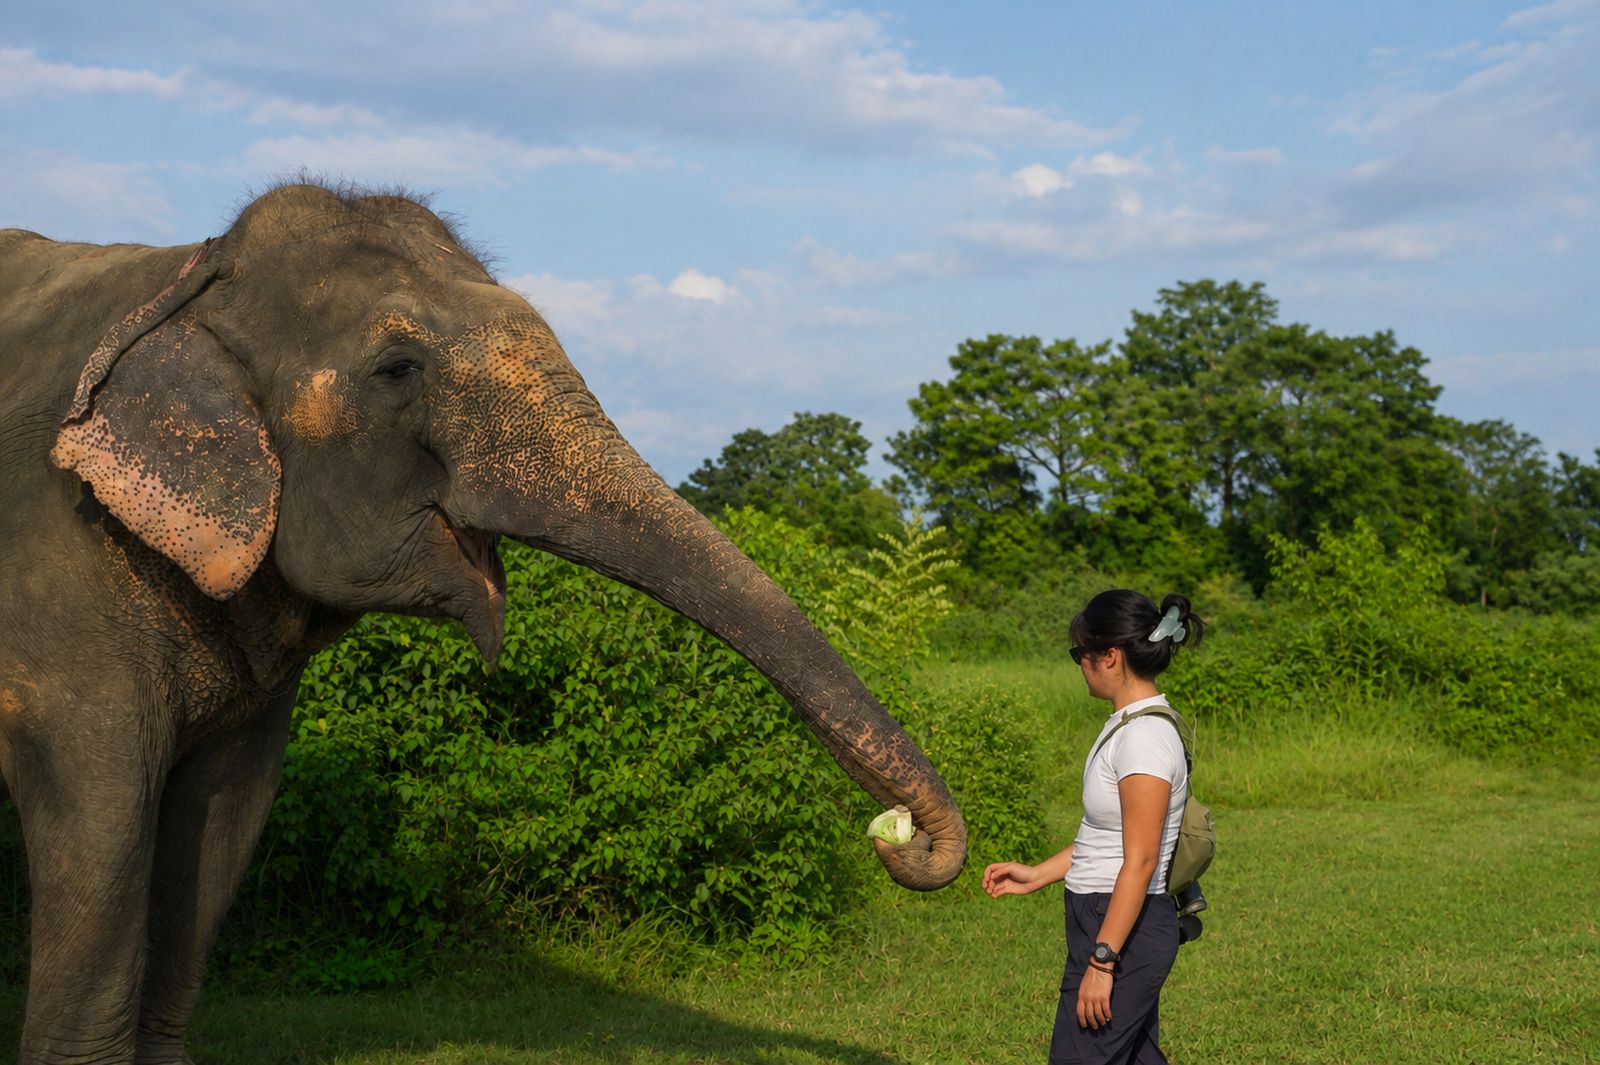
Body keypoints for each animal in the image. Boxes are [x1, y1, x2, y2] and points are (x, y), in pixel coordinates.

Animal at [0, 183, 967, 1064]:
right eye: (398, 368)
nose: (901, 835)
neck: (186, 277)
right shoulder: (60, 567)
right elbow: (105, 826)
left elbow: (221, 823)